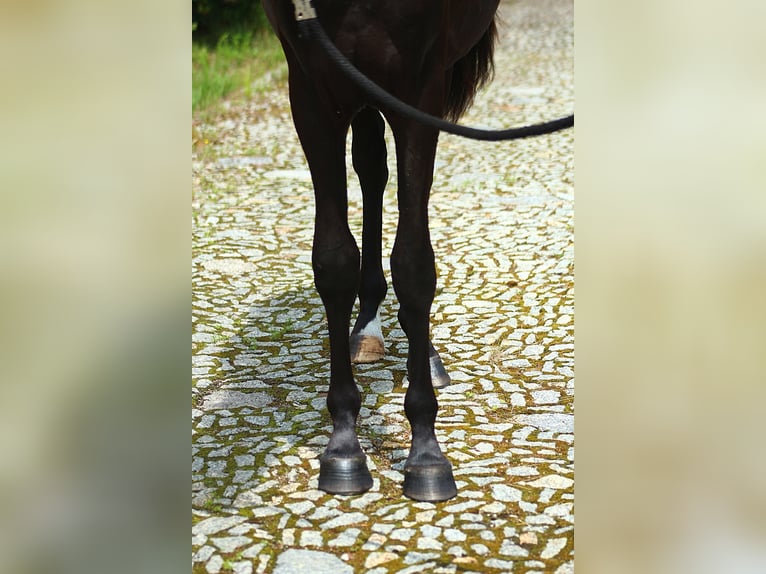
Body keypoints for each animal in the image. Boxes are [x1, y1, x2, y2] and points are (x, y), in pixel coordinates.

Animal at [263, 0, 501, 502]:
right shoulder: (312, 95)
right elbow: (334, 260)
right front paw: (344, 446)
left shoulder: (420, 92)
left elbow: (414, 263)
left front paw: (427, 454)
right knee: (371, 167)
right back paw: (367, 323)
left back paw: (424, 355)